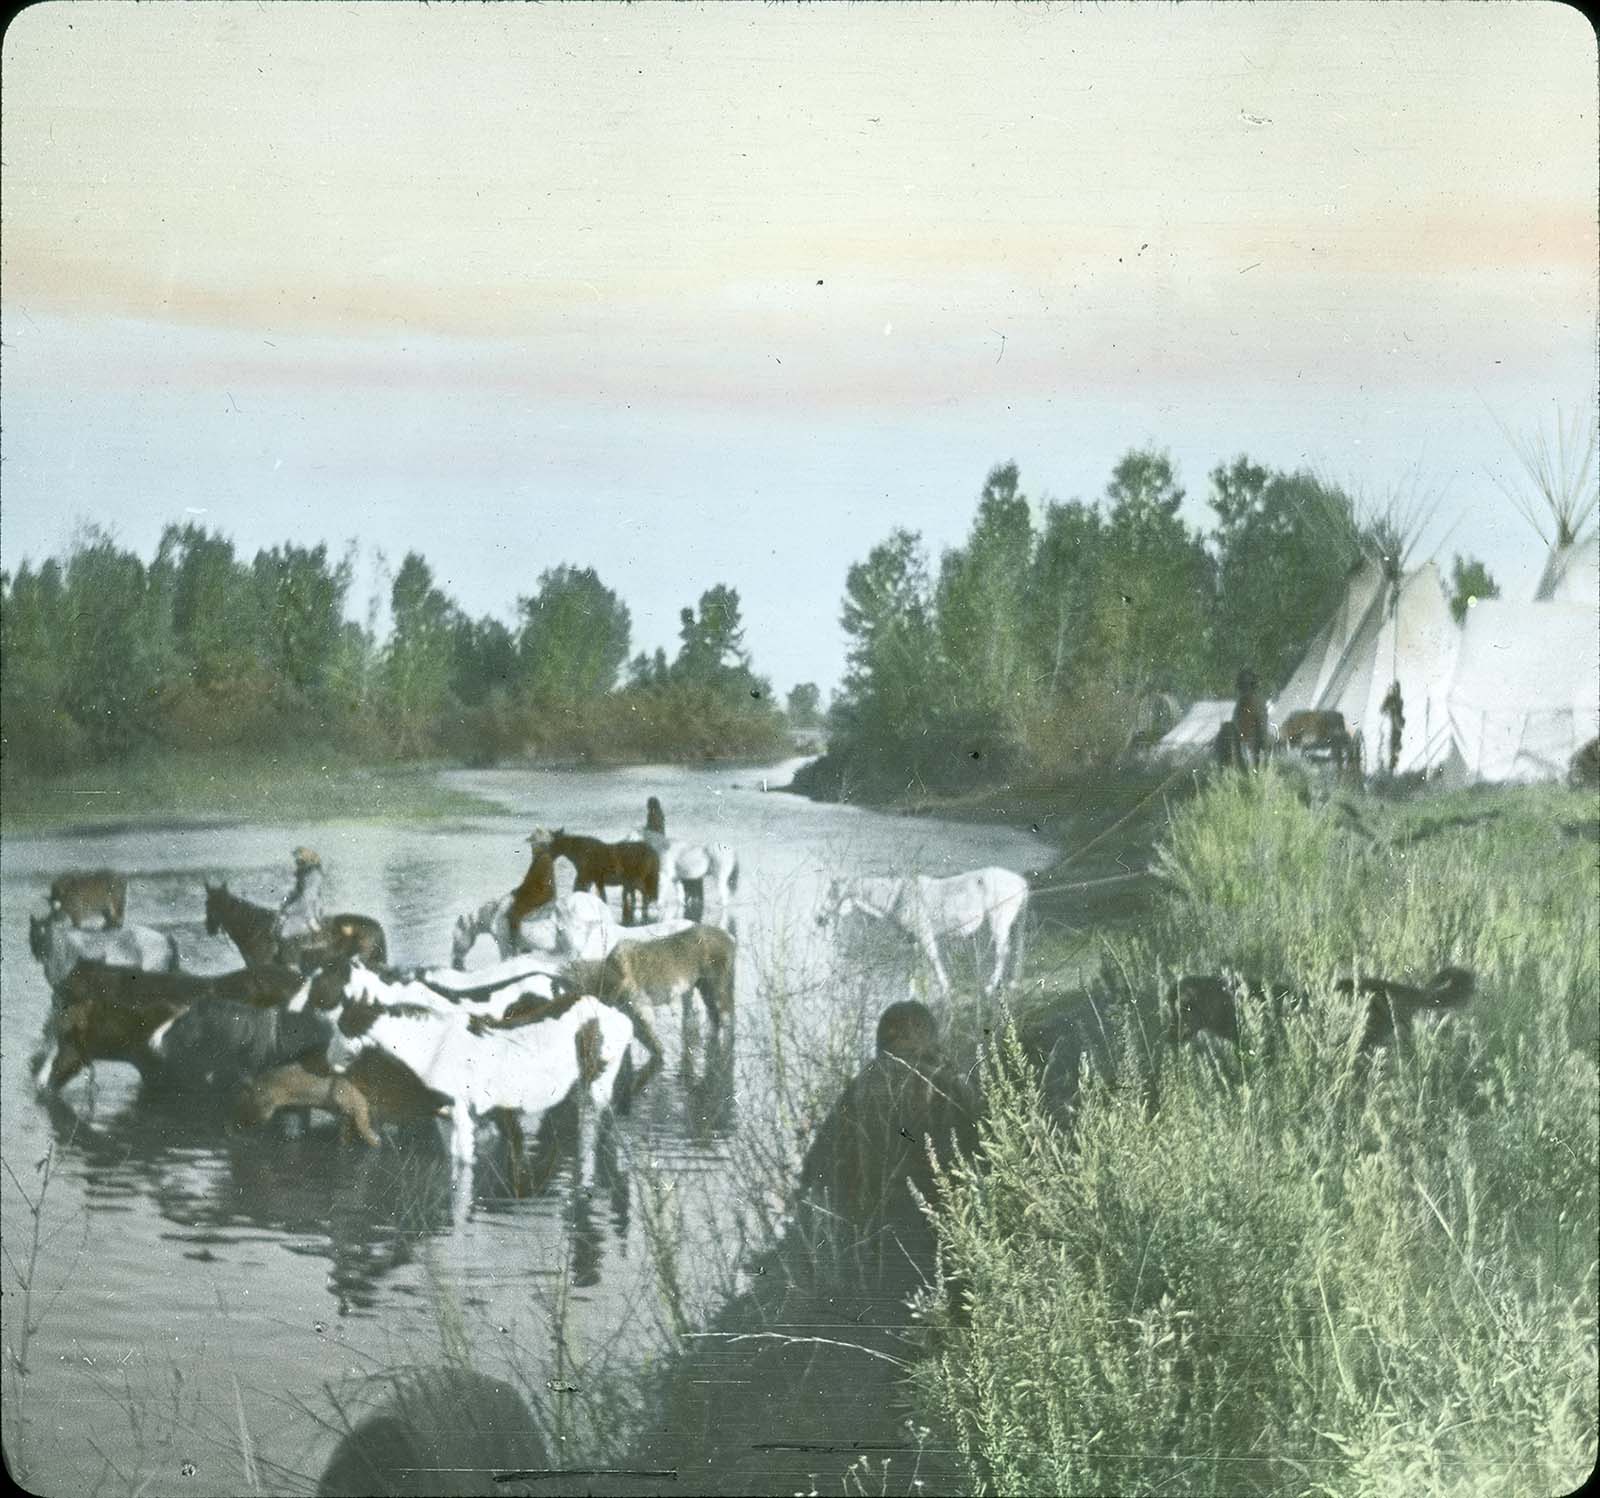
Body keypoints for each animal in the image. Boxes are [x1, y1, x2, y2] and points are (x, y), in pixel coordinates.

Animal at [448, 889, 614, 973]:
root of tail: (599, 905)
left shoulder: (503, 936)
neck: (493, 912)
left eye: (454, 939)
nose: (455, 963)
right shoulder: (520, 940)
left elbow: (505, 954)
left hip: (573, 924)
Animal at [819, 864, 1030, 992]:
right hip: (1014, 921)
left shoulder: (924, 933)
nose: (819, 918)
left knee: (1003, 951)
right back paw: (1013, 982)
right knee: (1017, 949)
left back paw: (991, 986)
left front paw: (945, 987)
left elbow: (933, 959)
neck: (897, 897)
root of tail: (1021, 882)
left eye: (832, 893)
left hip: (999, 920)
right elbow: (916, 964)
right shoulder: (912, 938)